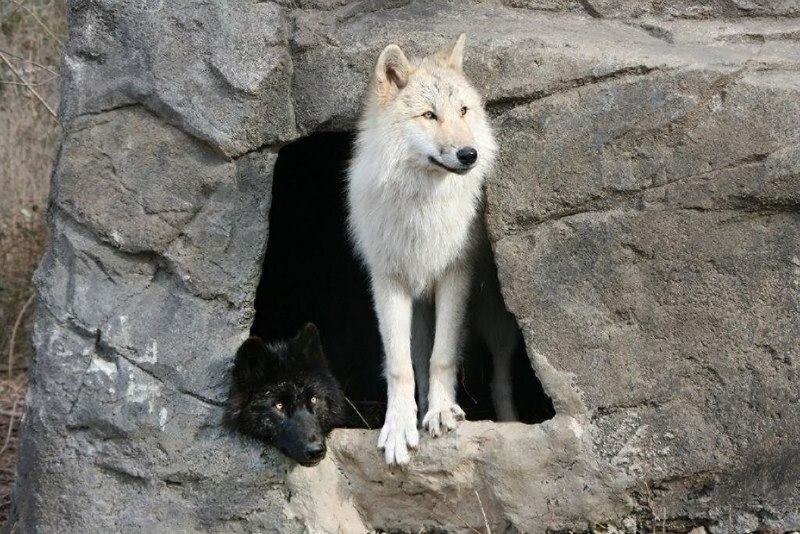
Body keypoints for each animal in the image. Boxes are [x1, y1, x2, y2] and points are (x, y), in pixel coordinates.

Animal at [347, 34, 518, 465]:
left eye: (463, 110)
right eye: (429, 115)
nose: (469, 154)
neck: (422, 206)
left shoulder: (455, 274)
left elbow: (443, 357)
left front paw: (442, 413)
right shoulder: (388, 281)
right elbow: (401, 367)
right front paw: (399, 427)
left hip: (493, 313)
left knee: (500, 372)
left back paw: (509, 423)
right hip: (422, 310)